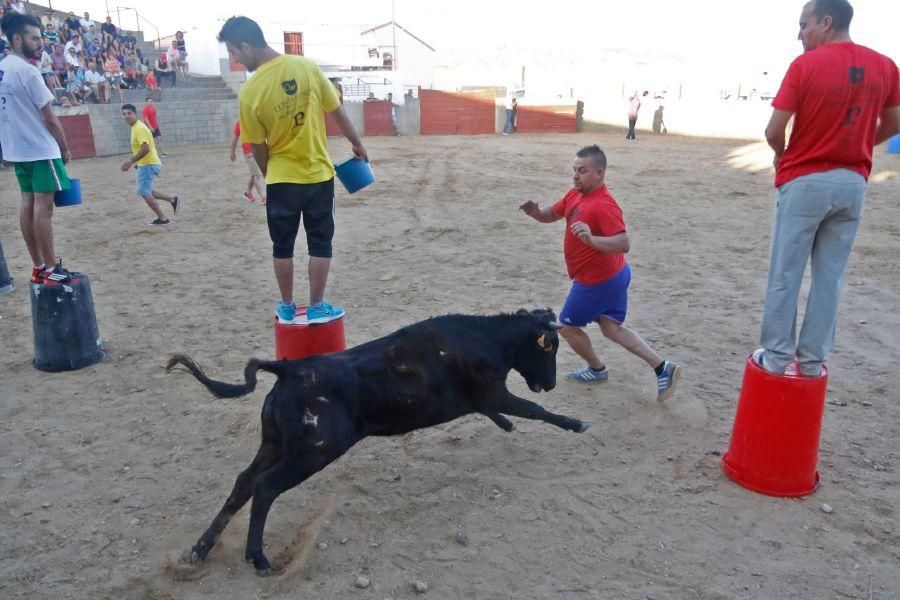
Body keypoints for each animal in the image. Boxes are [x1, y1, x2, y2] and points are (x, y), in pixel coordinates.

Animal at [167, 312, 592, 576]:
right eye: (549, 347)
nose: (550, 383)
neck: (482, 339)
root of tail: (288, 370)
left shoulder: (483, 399)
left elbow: (504, 413)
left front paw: (509, 426)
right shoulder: (493, 392)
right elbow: (534, 410)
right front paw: (576, 423)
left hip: (274, 445)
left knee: (242, 484)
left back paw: (199, 551)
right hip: (312, 453)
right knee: (265, 487)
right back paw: (257, 558)